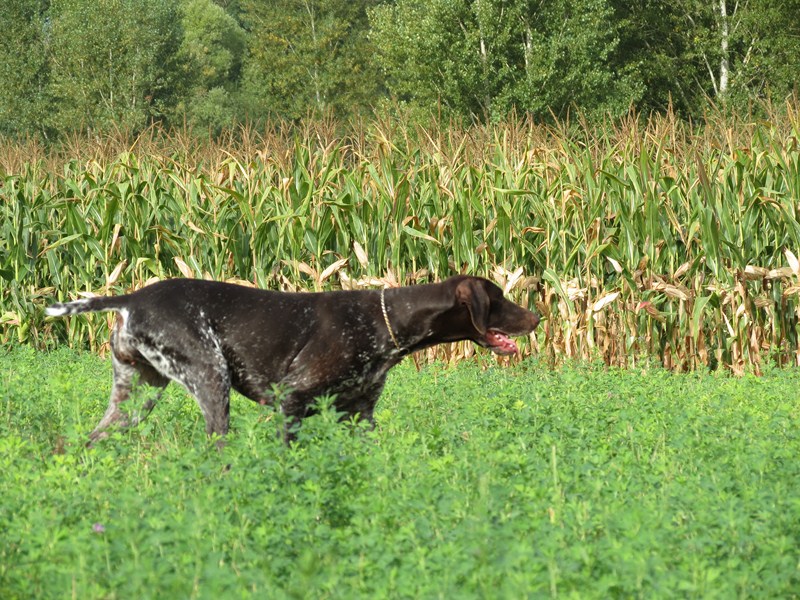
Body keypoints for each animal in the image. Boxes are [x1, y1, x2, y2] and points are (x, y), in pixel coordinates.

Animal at [47, 276, 540, 440]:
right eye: (499, 299)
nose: (537, 317)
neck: (387, 321)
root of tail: (130, 299)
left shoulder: (359, 414)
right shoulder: (291, 401)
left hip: (135, 397)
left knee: (92, 440)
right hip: (211, 377)